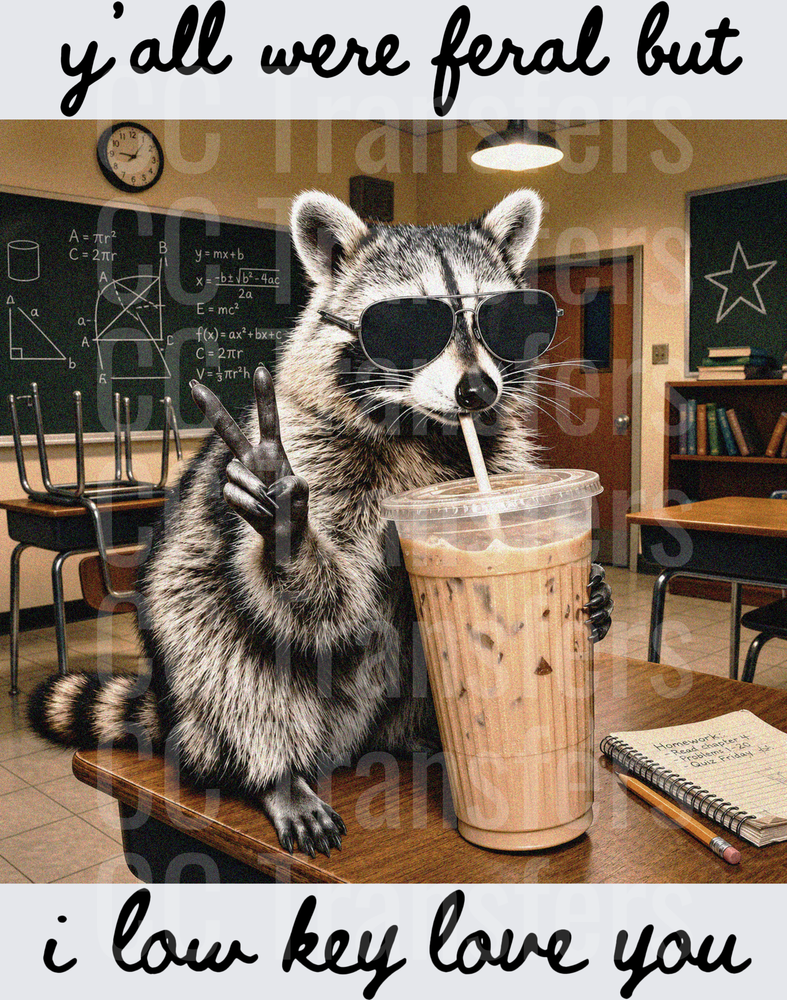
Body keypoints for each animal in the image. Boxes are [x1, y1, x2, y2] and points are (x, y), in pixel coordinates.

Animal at [29, 189, 612, 858]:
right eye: (408, 326)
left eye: (504, 322)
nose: (476, 391)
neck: (423, 430)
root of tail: (351, 741)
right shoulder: (314, 450)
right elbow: (332, 606)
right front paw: (288, 528)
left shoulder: (496, 457)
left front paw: (594, 590)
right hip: (194, 641)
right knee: (227, 657)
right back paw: (276, 774)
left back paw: (421, 741)